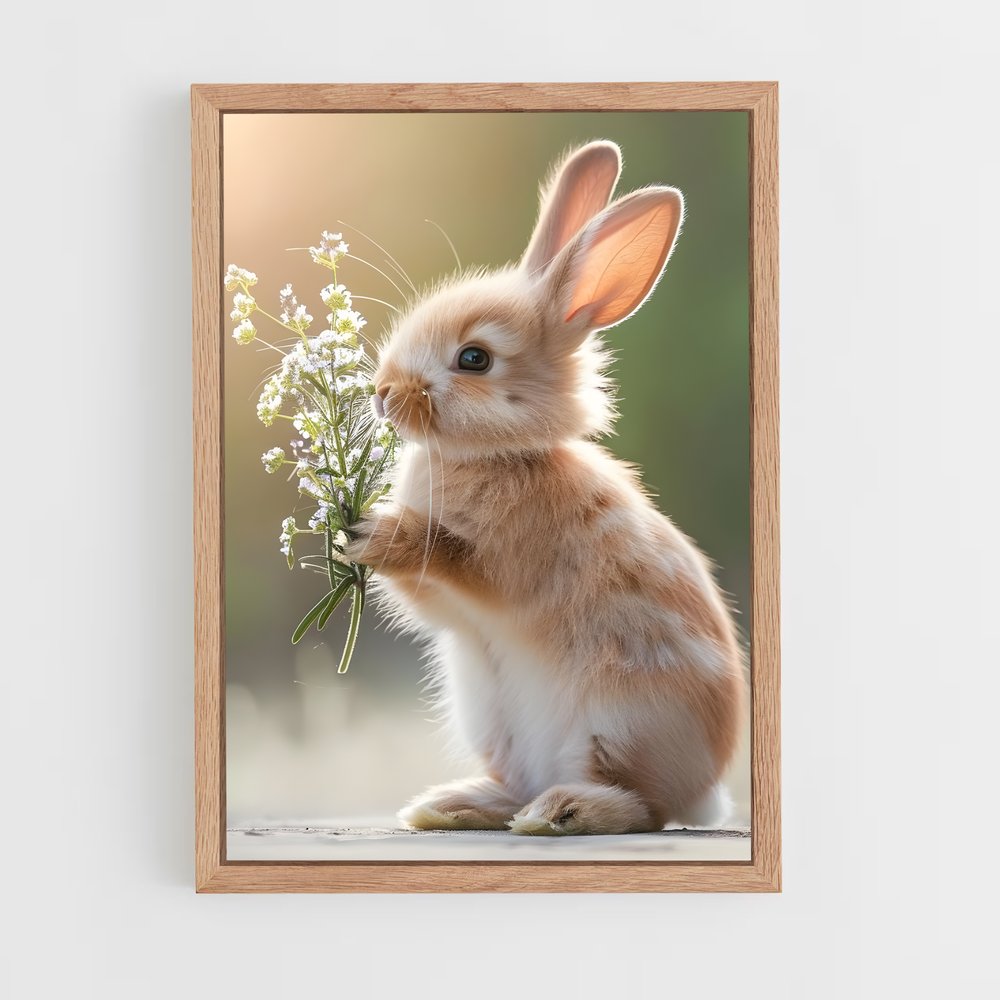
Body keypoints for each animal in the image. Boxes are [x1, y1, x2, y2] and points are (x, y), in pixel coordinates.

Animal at [346, 139, 745, 835]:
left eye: (474, 359)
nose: (384, 394)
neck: (501, 456)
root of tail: (706, 795)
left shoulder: (510, 565)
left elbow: (463, 563)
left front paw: (381, 532)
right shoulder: (449, 613)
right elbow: (429, 604)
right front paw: (356, 535)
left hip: (617, 719)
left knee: (641, 805)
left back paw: (560, 812)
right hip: (490, 717)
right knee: (522, 787)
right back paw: (451, 806)